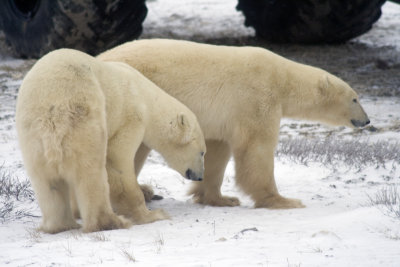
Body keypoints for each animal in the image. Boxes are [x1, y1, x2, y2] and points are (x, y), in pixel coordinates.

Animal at [16, 49, 206, 233]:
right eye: (202, 152)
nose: (200, 176)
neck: (145, 97)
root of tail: (52, 112)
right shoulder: (131, 118)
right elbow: (117, 161)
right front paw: (151, 214)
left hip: (32, 135)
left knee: (46, 183)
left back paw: (61, 225)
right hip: (82, 117)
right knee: (91, 172)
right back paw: (112, 222)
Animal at [98, 38, 370, 210]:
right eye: (355, 98)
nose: (367, 120)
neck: (282, 77)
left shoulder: (223, 118)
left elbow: (217, 151)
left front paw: (220, 198)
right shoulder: (257, 98)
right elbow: (256, 149)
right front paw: (283, 200)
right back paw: (141, 191)